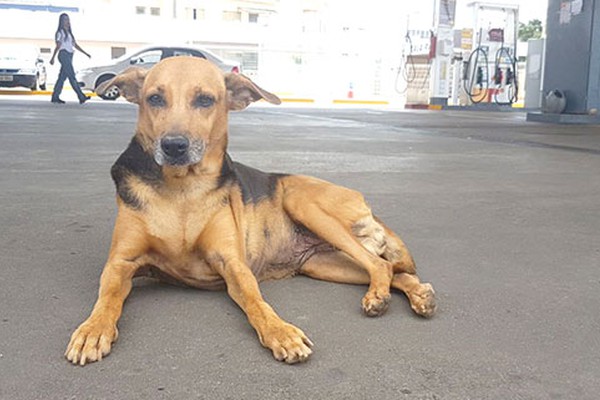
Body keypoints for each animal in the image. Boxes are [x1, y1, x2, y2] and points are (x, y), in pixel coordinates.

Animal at [64, 56, 436, 366]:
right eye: (154, 98)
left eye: (205, 100)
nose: (173, 146)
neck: (182, 189)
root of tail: (364, 200)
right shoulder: (120, 263)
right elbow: (107, 297)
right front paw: (92, 329)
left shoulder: (233, 264)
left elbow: (257, 302)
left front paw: (280, 332)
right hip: (324, 263)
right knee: (393, 270)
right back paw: (419, 295)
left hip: (302, 203)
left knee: (380, 265)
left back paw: (379, 295)